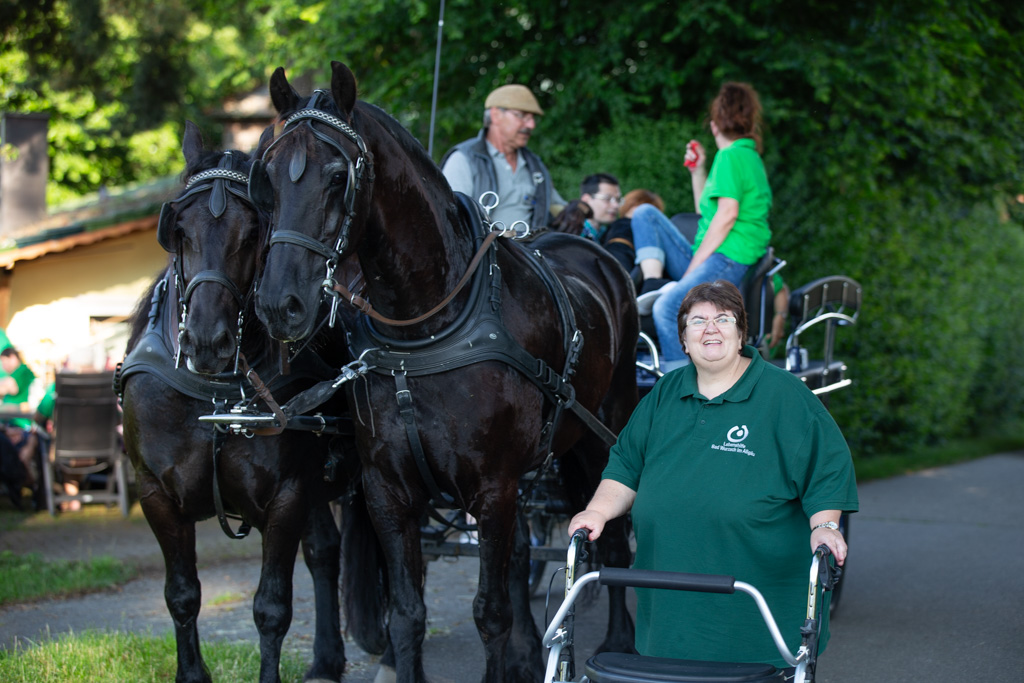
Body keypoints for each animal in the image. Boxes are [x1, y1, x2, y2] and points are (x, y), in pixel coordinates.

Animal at [117, 121, 386, 683]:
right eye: (179, 230)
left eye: (253, 232)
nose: (207, 340)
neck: (214, 394)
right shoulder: (156, 495)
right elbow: (182, 596)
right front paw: (192, 674)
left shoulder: (286, 497)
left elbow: (271, 609)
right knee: (325, 553)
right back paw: (326, 660)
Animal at [248, 61, 638, 682]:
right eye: (265, 177)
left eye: (337, 176)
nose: (279, 303)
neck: (426, 329)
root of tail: (603, 259)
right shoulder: (389, 492)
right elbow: (408, 614)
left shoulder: (492, 487)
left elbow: (491, 612)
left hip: (604, 436)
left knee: (616, 544)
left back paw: (619, 641)